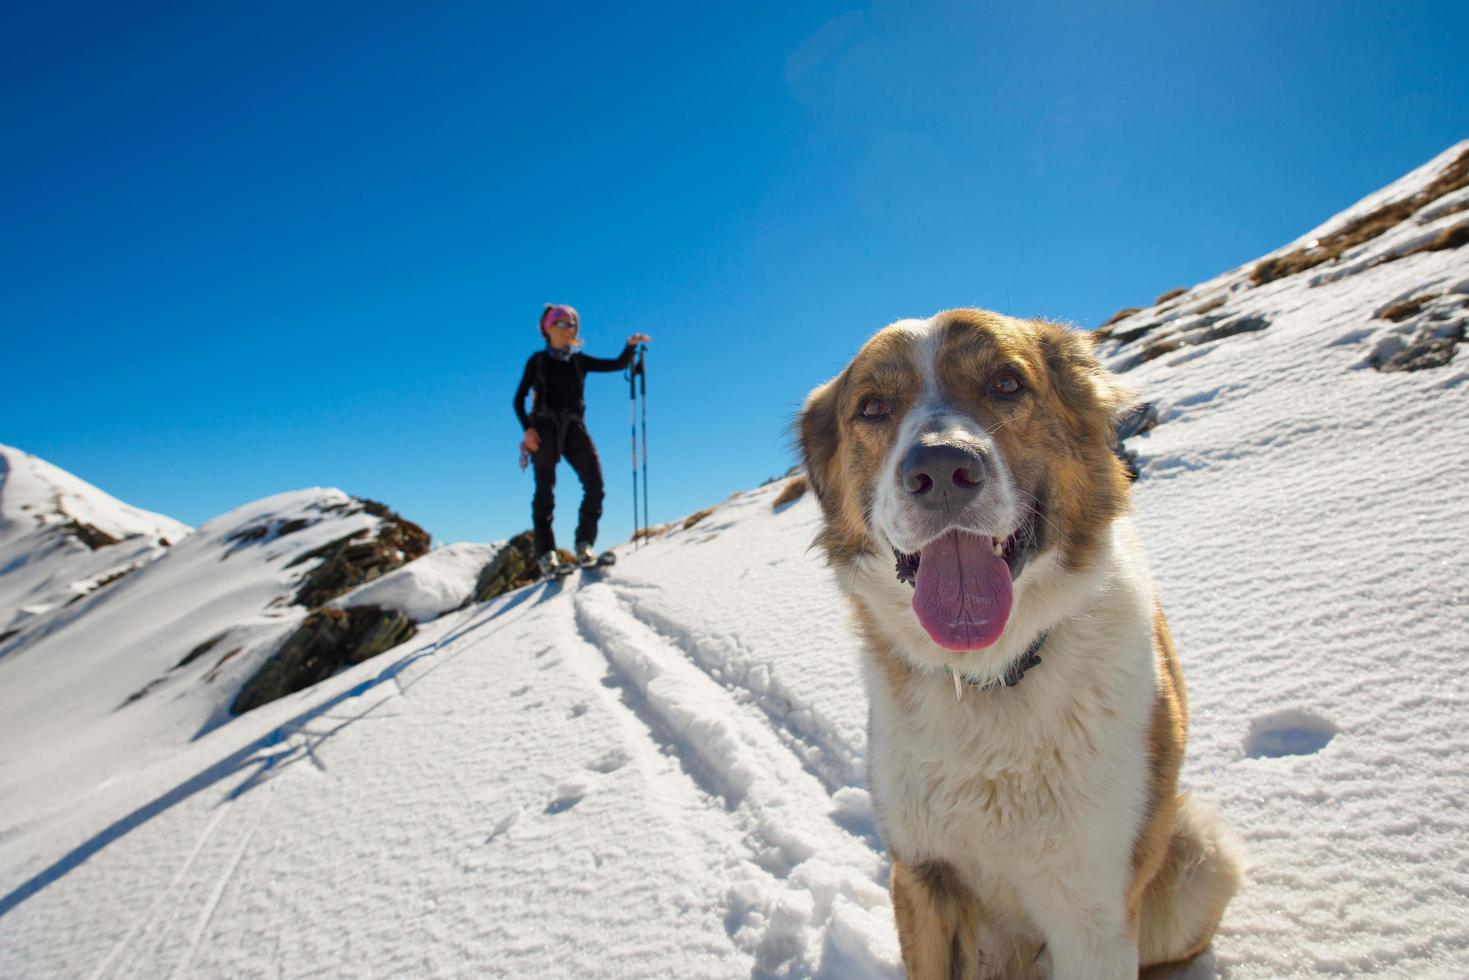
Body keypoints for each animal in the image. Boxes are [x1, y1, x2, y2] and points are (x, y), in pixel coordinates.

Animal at [805, 310, 1239, 975]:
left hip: (1201, 852)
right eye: (873, 406)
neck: (992, 674)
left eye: (1007, 383)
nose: (940, 471)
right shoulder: (922, 875)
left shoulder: (1096, 912)